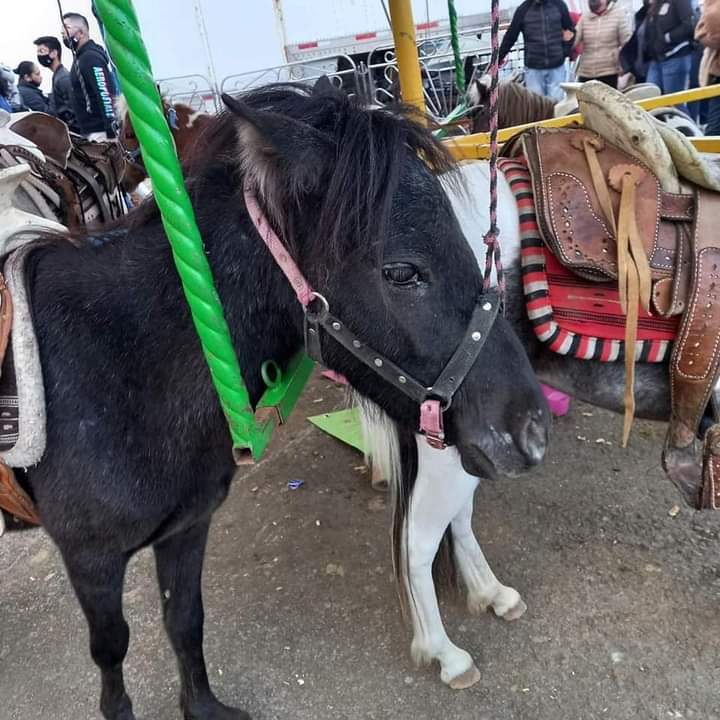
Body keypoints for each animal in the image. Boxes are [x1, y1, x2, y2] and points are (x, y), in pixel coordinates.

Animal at [7, 83, 552, 716]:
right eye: (400, 271)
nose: (532, 430)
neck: (116, 364)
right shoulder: (90, 559)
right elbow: (112, 648)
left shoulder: (184, 528)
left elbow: (184, 620)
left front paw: (204, 708)